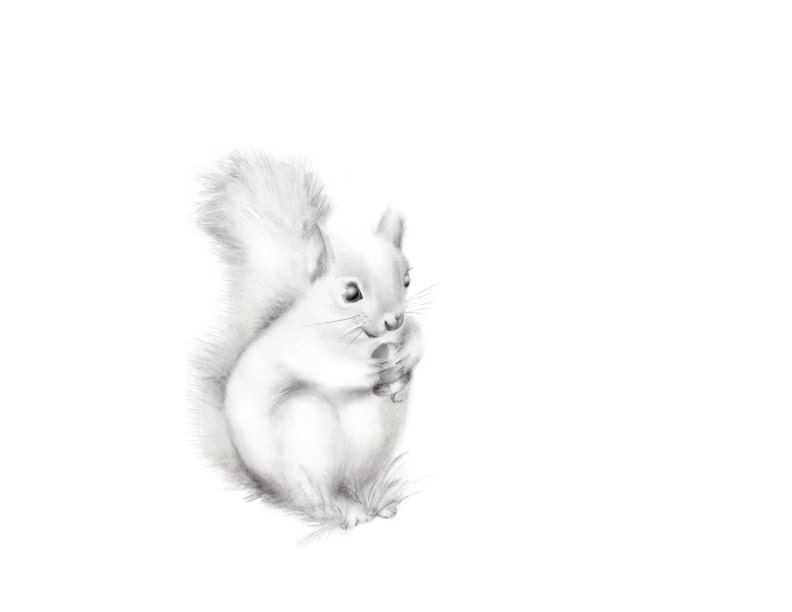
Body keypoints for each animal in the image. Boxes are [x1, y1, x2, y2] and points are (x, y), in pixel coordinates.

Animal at [192, 152, 424, 531]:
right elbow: (326, 364)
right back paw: (345, 512)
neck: (360, 341)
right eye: (351, 293)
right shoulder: (299, 346)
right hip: (305, 427)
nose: (394, 320)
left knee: (359, 482)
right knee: (313, 497)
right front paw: (370, 373)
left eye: (406, 280)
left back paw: (377, 501)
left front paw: (409, 354)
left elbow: (418, 334)